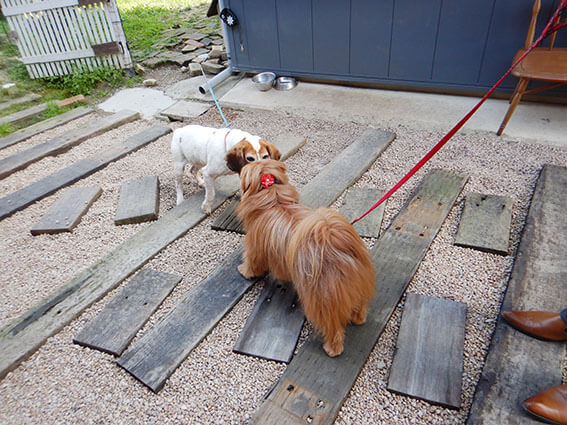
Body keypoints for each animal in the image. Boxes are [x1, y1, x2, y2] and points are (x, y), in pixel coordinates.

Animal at [236, 158, 378, 354]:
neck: (275, 198)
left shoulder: (255, 248)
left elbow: (252, 262)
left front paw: (244, 270)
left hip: (321, 301)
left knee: (332, 327)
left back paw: (332, 348)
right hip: (357, 286)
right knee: (359, 306)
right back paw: (358, 318)